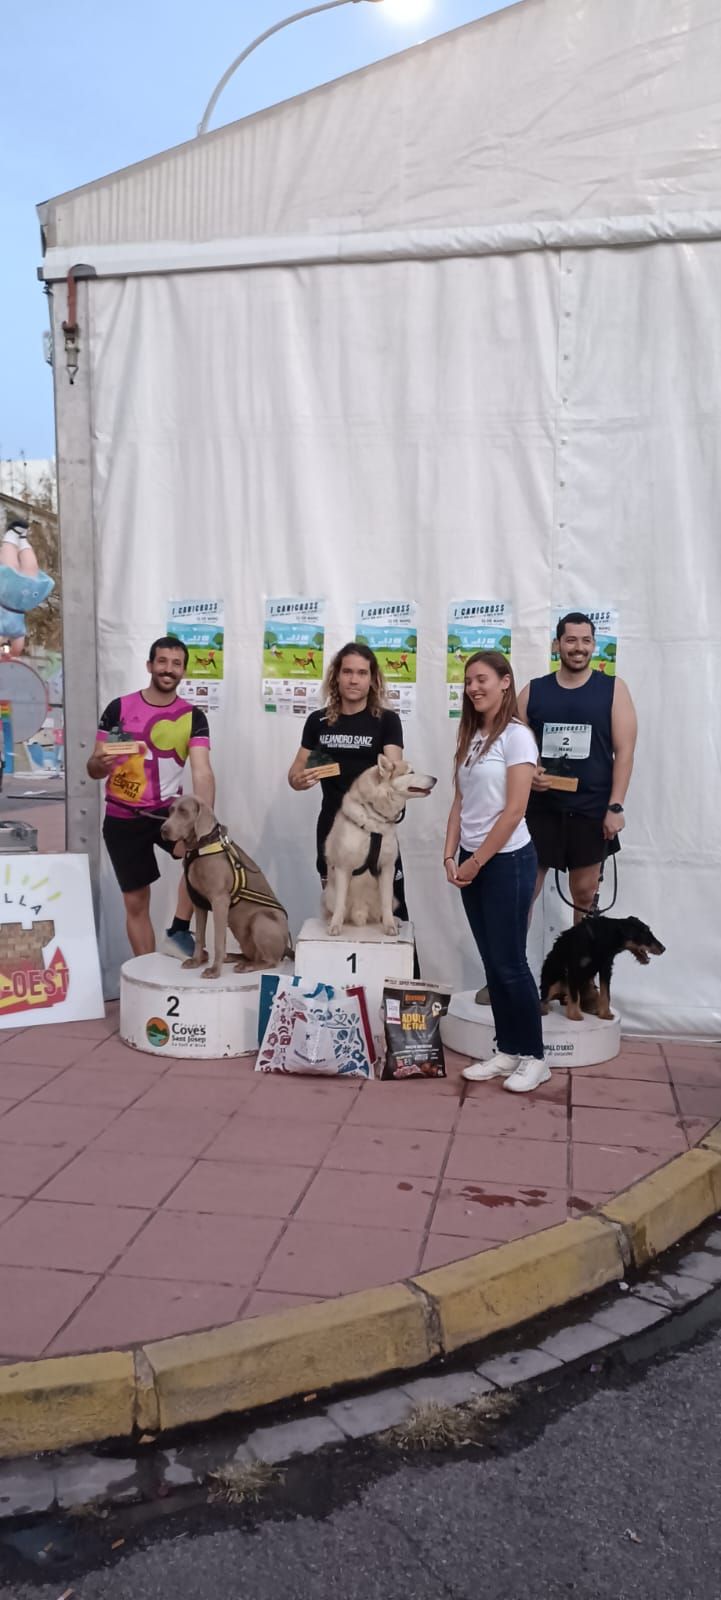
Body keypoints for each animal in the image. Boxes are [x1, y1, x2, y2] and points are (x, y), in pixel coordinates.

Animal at [326, 752, 438, 934]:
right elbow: (340, 903)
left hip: (393, 898)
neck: (373, 820)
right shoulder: (343, 867)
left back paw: (395, 921)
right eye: (411, 772)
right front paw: (335, 925)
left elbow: (385, 903)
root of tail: (361, 913)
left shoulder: (387, 867)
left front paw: (390, 926)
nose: (435, 778)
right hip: (328, 893)